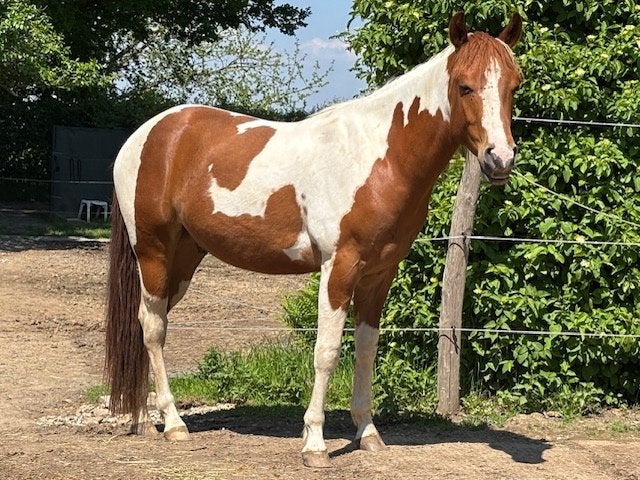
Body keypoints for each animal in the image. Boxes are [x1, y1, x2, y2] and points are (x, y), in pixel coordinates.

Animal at [105, 11, 523, 468]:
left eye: (513, 85)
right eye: (464, 86)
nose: (500, 159)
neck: (378, 158)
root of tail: (147, 133)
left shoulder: (379, 274)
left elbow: (366, 348)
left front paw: (367, 433)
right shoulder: (338, 267)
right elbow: (326, 353)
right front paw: (315, 444)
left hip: (183, 259)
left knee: (146, 324)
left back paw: (145, 419)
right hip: (154, 252)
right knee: (153, 329)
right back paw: (174, 424)